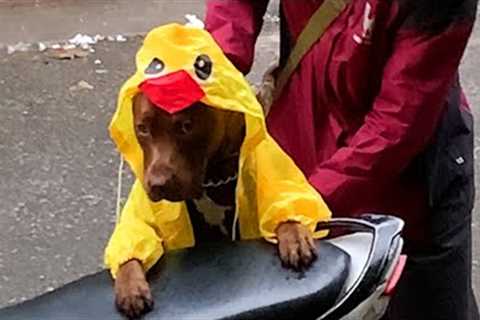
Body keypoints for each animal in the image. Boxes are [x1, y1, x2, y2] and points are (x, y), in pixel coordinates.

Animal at [112, 92, 316, 318]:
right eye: (142, 128)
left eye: (186, 126)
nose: (157, 184)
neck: (211, 179)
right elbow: (132, 244)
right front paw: (130, 285)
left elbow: (286, 206)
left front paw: (295, 235)